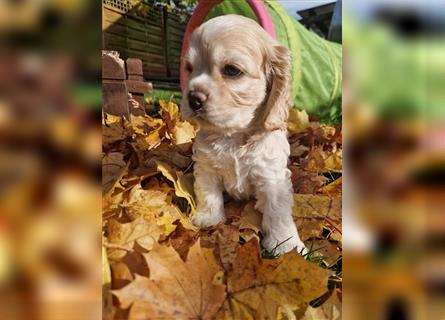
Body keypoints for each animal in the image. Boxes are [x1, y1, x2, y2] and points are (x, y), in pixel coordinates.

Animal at [180, 14, 306, 255]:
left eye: (232, 70)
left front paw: (286, 244)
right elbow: (207, 193)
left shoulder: (272, 176)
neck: (233, 134)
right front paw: (209, 218)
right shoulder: (206, 167)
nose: (192, 98)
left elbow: (277, 210)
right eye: (189, 68)